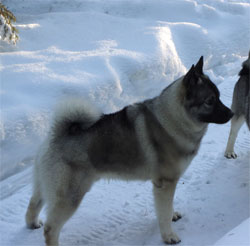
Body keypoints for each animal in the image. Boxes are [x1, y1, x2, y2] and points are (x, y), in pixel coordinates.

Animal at [24, 56, 232, 245]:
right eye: (210, 100)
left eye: (219, 96)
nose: (231, 113)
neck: (174, 118)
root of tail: (58, 134)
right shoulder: (166, 183)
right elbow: (163, 213)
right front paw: (169, 236)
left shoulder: (163, 184)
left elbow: (166, 208)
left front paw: (172, 215)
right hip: (70, 196)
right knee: (51, 229)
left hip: (45, 185)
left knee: (33, 204)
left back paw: (32, 223)